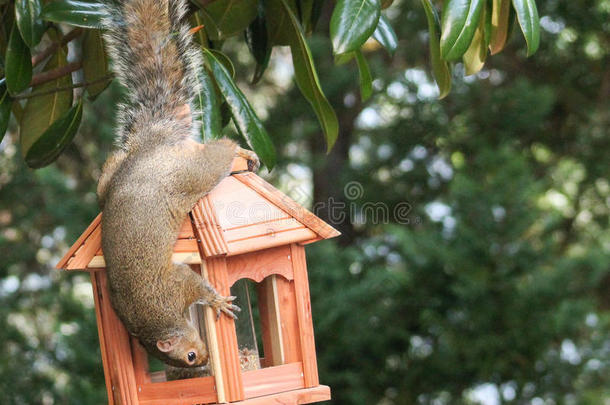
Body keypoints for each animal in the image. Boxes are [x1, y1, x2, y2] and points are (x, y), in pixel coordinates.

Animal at [96, 0, 258, 368]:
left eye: (191, 355)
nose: (205, 362)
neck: (156, 319)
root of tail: (152, 143)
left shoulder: (172, 286)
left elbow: (194, 283)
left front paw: (217, 302)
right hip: (112, 176)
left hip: (192, 174)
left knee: (219, 151)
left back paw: (241, 152)